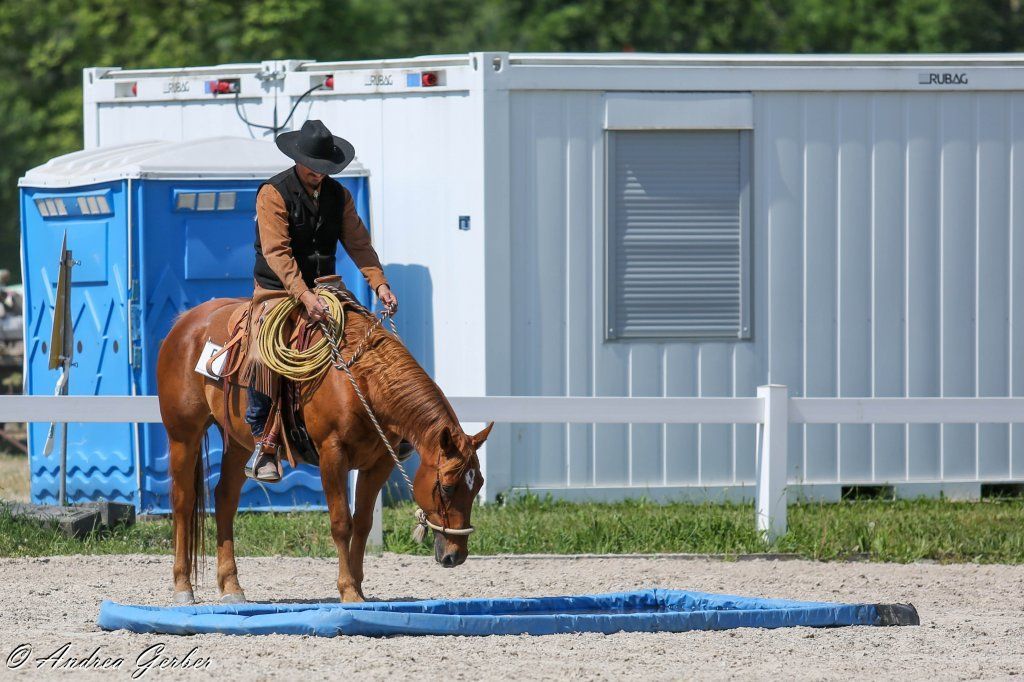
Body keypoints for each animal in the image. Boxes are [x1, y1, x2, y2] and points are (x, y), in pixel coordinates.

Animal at [156, 295, 491, 604]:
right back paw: (183, 587)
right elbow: (342, 522)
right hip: (183, 437)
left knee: (225, 499)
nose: (456, 555)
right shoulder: (333, 455)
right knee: (183, 502)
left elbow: (363, 523)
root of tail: (186, 321)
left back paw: (232, 587)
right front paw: (348, 590)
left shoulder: (380, 462)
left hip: (239, 443)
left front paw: (358, 587)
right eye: (446, 487)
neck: (360, 379)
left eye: (478, 486)